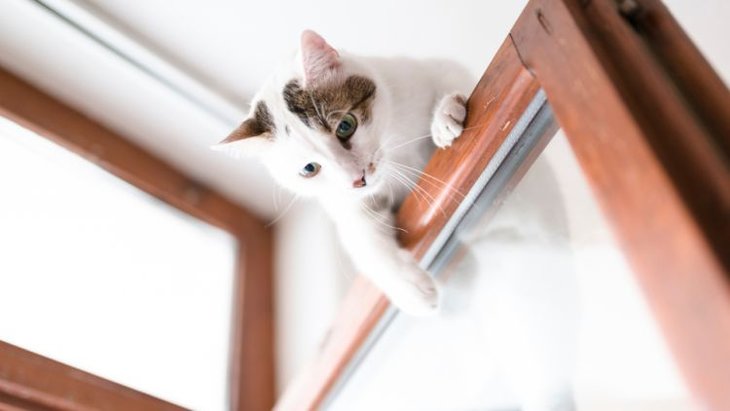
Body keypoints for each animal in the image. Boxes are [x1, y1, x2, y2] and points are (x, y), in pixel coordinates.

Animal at [213, 30, 470, 316]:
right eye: (309, 169)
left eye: (346, 126)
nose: (358, 179)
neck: (393, 150)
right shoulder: (348, 205)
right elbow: (365, 242)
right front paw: (412, 291)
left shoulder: (424, 73)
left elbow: (460, 76)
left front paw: (446, 114)